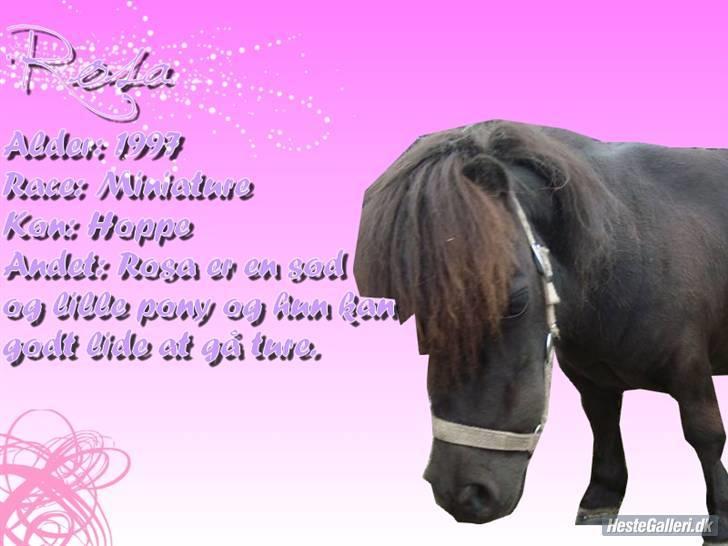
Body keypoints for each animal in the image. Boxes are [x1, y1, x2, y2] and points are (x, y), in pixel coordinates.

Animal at [353, 120, 728, 544]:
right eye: (413, 311)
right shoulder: (591, 376)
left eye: (515, 301)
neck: (627, 249)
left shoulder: (690, 370)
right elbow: (602, 422)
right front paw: (602, 497)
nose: (463, 494)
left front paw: (719, 518)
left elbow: (706, 435)